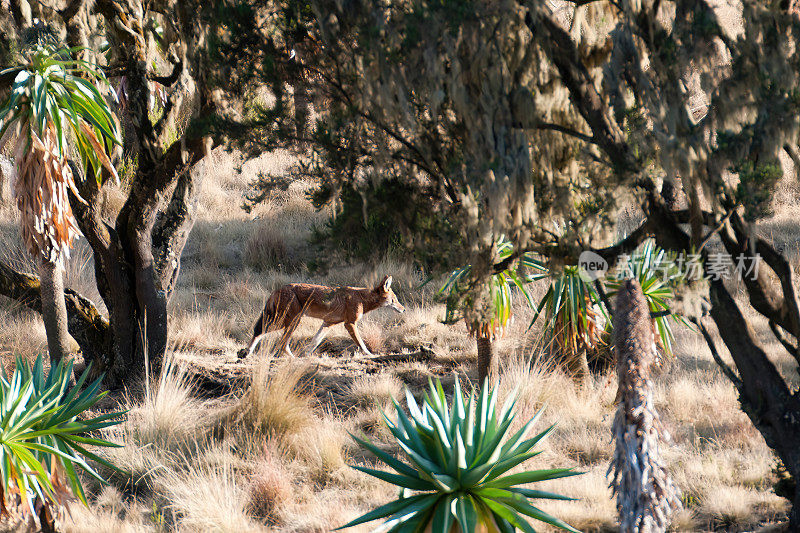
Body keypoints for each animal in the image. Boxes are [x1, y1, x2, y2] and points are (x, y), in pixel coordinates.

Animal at [236, 274, 400, 358]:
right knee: (278, 341)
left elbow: (314, 342)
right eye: (395, 300)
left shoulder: (327, 323)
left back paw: (246, 353)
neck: (362, 298)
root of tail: (277, 289)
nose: (403, 309)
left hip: (285, 321)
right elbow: (361, 343)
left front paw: (306, 356)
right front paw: (369, 354)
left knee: (261, 333)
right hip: (290, 322)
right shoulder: (350, 324)